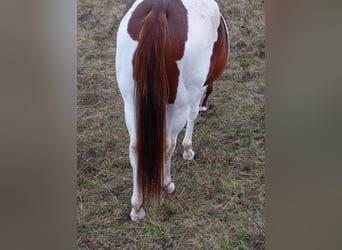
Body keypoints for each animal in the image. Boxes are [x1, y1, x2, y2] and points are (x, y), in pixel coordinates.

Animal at [115, 0, 230, 221]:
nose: (206, 104)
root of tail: (158, 13)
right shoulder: (195, 92)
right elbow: (192, 118)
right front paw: (188, 151)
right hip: (178, 105)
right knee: (167, 143)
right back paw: (165, 184)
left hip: (131, 101)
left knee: (135, 147)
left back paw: (137, 207)